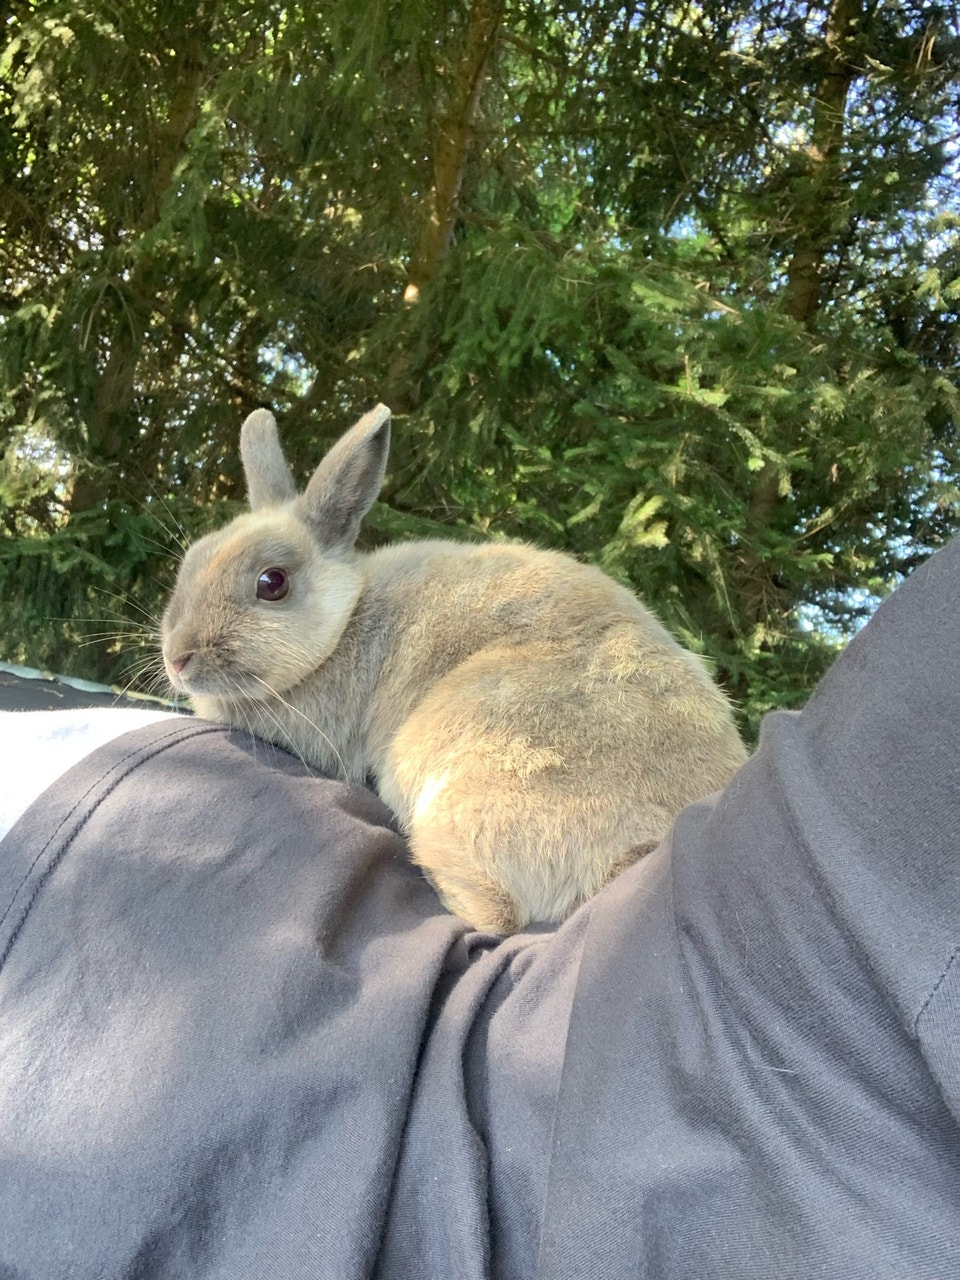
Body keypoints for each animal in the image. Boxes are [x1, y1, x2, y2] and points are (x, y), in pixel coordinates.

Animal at [161, 403, 748, 933]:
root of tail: (641, 848)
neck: (345, 622)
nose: (177, 658)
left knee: (495, 914)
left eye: (272, 583)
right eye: (191, 561)